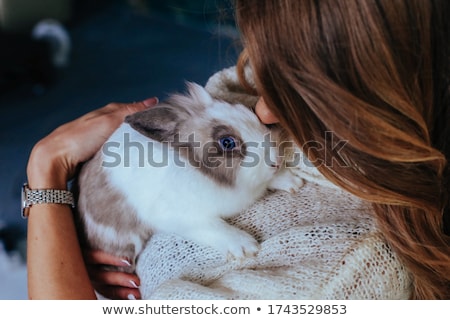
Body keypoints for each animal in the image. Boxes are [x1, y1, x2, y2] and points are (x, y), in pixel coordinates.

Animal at [76, 83, 302, 270]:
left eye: (250, 112)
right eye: (227, 142)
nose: (276, 160)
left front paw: (292, 181)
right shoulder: (181, 217)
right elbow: (214, 227)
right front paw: (245, 247)